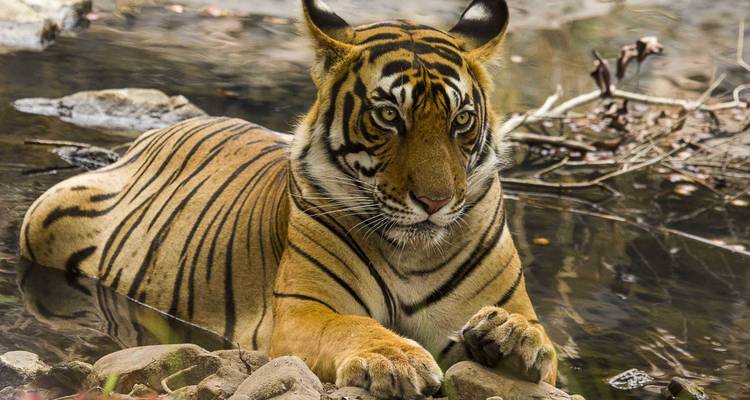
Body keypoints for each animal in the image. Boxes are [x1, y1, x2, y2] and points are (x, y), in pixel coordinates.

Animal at [20, 0, 557, 398]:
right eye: (388, 115)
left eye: (460, 120)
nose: (435, 201)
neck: (413, 252)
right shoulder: (301, 312)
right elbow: (352, 326)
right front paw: (397, 357)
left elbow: (541, 344)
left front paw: (511, 336)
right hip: (44, 216)